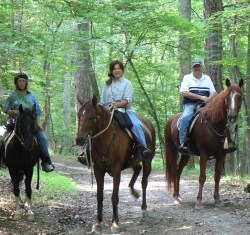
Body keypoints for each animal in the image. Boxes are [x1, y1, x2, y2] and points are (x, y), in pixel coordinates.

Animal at [75, 95, 155, 233]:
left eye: (92, 117)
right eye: (79, 115)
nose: (79, 139)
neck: (107, 139)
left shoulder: (116, 170)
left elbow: (114, 197)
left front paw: (115, 223)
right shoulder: (98, 170)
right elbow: (99, 196)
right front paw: (98, 222)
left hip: (147, 161)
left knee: (144, 182)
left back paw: (144, 207)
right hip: (132, 161)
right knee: (137, 169)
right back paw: (134, 192)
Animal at [163, 78, 243, 208]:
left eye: (239, 96)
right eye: (227, 97)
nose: (232, 116)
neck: (213, 123)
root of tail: (170, 120)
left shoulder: (221, 155)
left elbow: (217, 177)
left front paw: (217, 199)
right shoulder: (204, 154)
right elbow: (202, 177)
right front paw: (199, 201)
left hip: (186, 155)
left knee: (178, 171)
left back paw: (178, 196)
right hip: (172, 151)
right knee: (175, 171)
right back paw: (175, 197)